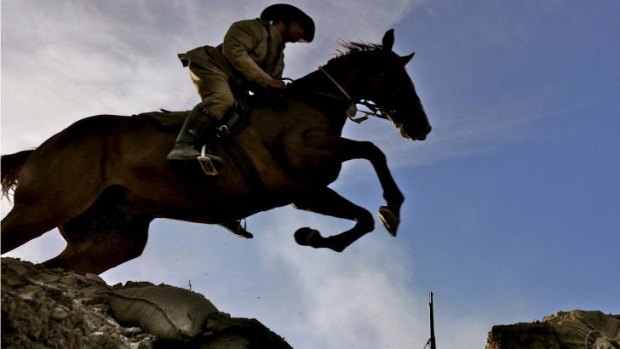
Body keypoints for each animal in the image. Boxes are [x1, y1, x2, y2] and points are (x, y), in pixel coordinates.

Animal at [0, 29, 432, 274]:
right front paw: (392, 207)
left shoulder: (307, 192)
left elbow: (363, 216)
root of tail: (40, 148)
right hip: (42, 208)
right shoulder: (302, 165)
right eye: (391, 76)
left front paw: (314, 237)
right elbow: (371, 150)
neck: (311, 105)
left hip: (114, 240)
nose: (421, 127)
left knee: (57, 267)